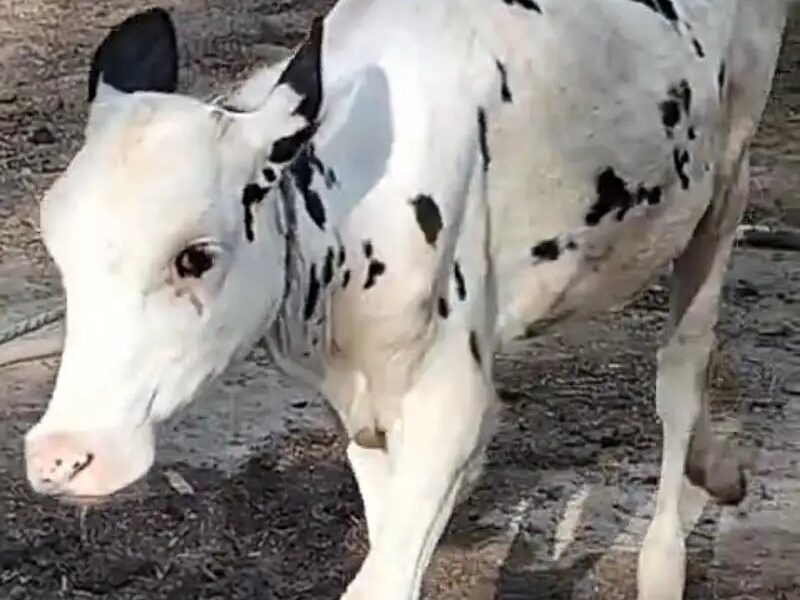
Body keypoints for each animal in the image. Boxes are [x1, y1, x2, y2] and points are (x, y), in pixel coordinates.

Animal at [23, 1, 790, 598]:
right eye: (56, 241)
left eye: (195, 255)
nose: (61, 457)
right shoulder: (360, 407)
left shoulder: (451, 400)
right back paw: (718, 471)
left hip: (727, 177)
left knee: (681, 369)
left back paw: (664, 561)